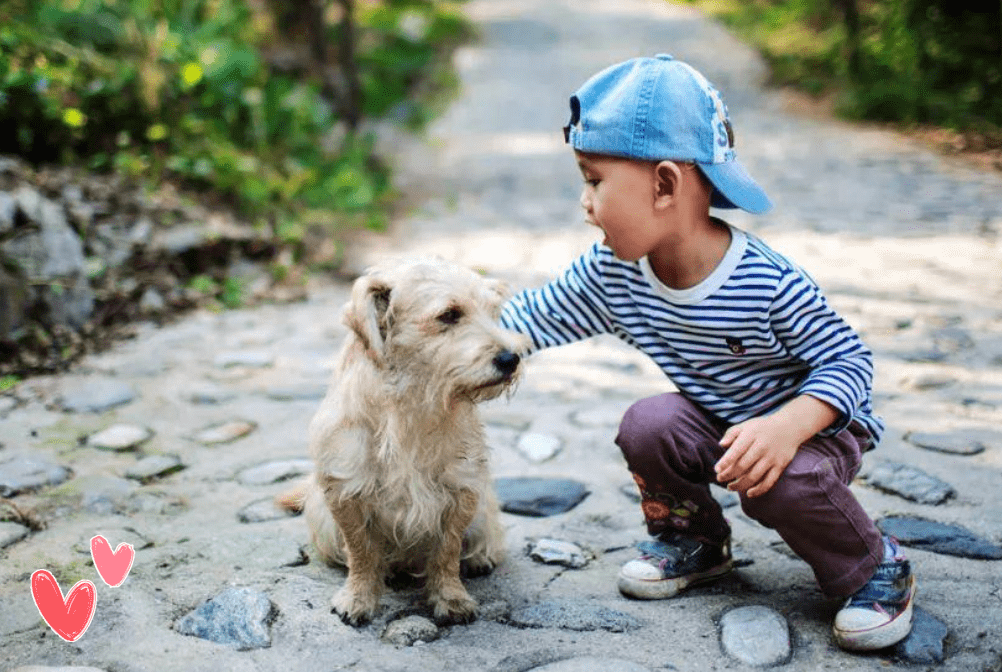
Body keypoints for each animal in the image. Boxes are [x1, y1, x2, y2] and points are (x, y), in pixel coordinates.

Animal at [280, 258, 529, 624]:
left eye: (493, 312)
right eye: (449, 315)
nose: (512, 359)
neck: (413, 404)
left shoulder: (462, 488)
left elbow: (447, 551)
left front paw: (450, 597)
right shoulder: (345, 490)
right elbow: (361, 551)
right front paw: (359, 596)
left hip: (484, 511)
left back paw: (479, 558)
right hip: (321, 519)